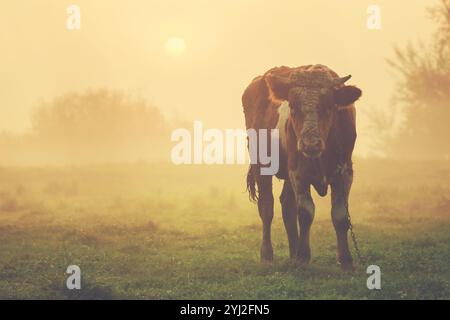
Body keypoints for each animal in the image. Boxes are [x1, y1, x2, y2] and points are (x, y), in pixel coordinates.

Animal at [243, 65, 362, 270]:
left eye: (329, 107)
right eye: (292, 106)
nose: (310, 144)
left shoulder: (345, 173)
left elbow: (340, 215)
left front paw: (345, 259)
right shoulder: (298, 173)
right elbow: (306, 212)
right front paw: (304, 256)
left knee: (287, 205)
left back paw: (293, 252)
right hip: (261, 165)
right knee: (266, 207)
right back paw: (267, 255)